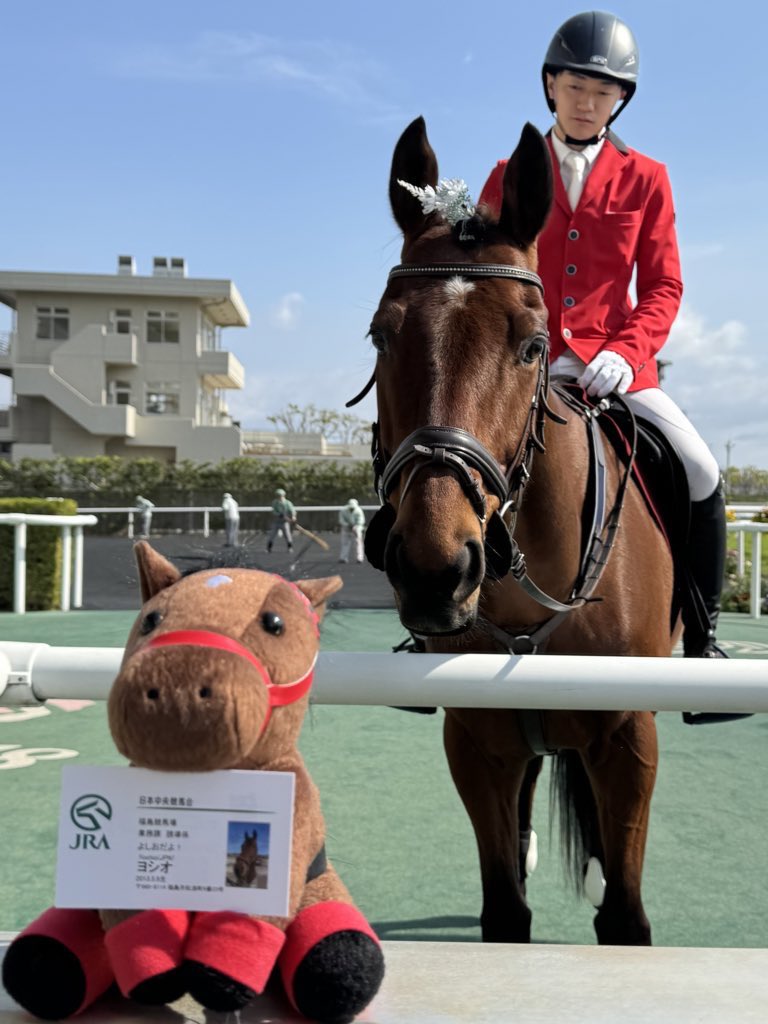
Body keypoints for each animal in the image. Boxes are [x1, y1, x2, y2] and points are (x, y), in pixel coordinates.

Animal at [362, 117, 676, 946]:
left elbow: (625, 919)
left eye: (534, 344)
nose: (435, 568)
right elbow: (505, 911)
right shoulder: (478, 742)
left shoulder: (629, 740)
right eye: (380, 337)